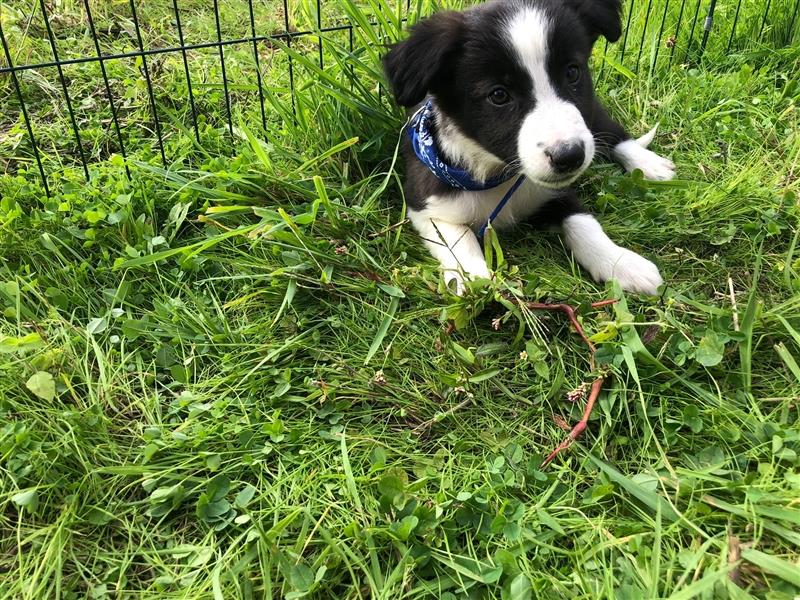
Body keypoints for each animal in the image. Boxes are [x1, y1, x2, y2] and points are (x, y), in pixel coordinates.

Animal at [382, 0, 676, 296]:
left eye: (572, 72)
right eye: (499, 95)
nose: (570, 157)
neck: (501, 175)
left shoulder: (556, 190)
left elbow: (584, 222)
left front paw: (622, 262)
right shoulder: (425, 206)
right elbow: (458, 238)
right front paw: (475, 278)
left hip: (591, 113)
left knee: (614, 135)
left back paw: (650, 165)